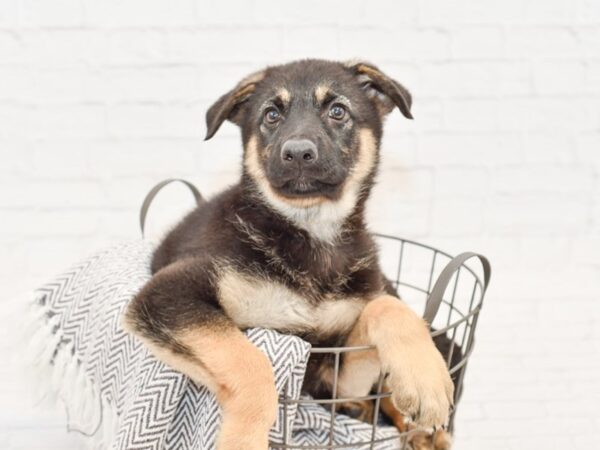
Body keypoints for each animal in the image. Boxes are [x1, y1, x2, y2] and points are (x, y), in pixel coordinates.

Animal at [122, 59, 452, 450]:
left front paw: (425, 379)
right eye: (271, 114)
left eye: (338, 111)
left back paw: (424, 431)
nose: (297, 153)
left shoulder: (336, 383)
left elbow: (385, 307)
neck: (311, 234)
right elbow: (250, 364)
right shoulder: (168, 295)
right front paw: (243, 440)